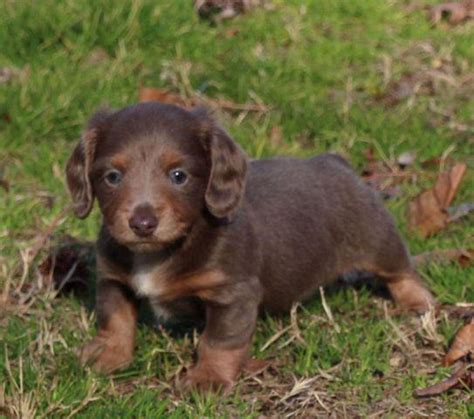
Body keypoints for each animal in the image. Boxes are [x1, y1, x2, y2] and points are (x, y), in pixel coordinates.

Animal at [65, 103, 436, 392]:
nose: (142, 224)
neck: (166, 248)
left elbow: (219, 341)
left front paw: (207, 379)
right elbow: (115, 319)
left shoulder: (233, 295)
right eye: (112, 177)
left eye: (178, 175)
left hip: (378, 240)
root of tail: (335, 163)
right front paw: (106, 356)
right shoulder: (113, 279)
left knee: (402, 270)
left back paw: (418, 303)